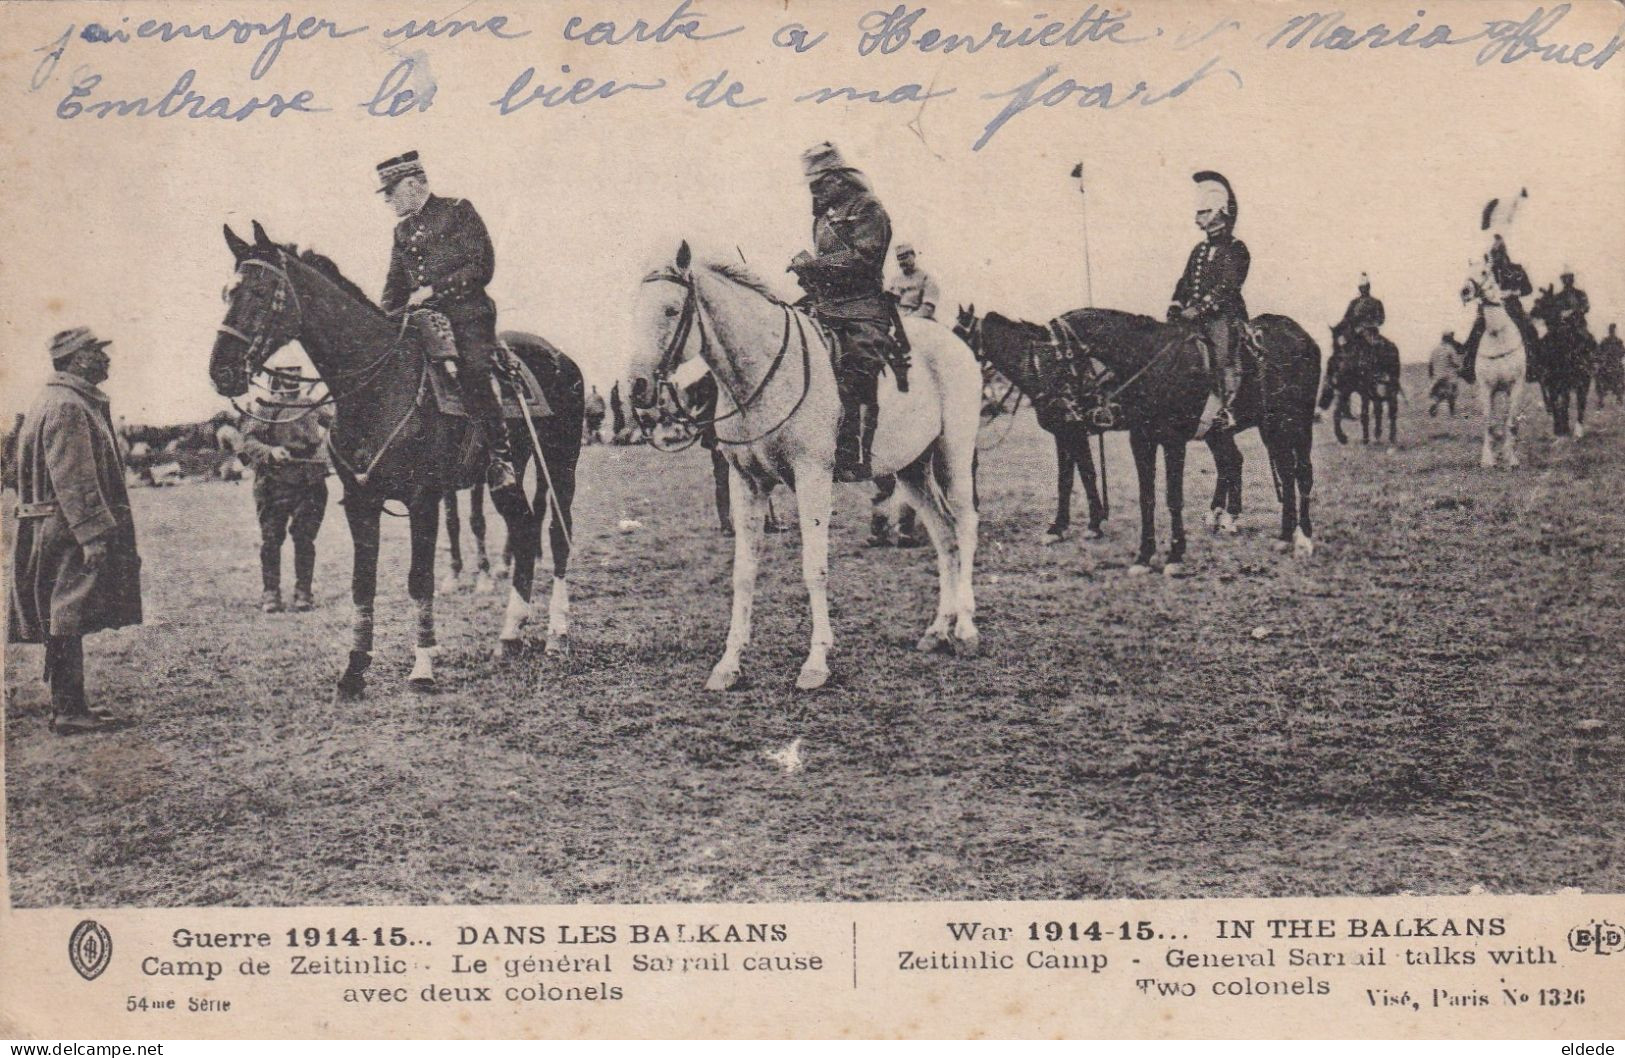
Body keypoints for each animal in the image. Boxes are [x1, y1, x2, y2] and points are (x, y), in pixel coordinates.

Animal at [206, 222, 581, 698]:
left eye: (259, 291)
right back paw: (510, 635)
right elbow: (362, 584)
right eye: (227, 292)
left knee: (557, 535)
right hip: (507, 478)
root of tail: (558, 356)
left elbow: (419, 581)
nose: (221, 372)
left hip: (561, 464)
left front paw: (422, 668)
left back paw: (556, 635)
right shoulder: (360, 502)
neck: (379, 384)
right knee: (527, 531)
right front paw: (354, 670)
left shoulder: (423, 501)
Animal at [620, 243, 975, 692]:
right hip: (912, 468)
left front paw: (816, 661)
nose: (636, 389)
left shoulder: (812, 477)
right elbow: (743, 572)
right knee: (945, 536)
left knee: (965, 526)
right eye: (635, 309)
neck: (763, 375)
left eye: (669, 310)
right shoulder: (747, 482)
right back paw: (938, 630)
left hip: (954, 454)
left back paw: (965, 629)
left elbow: (814, 568)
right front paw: (729, 664)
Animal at [955, 305, 1313, 572]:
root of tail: (1299, 334)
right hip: (1241, 429)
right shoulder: (1100, 435)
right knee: (1239, 464)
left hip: (1290, 424)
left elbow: (1103, 480)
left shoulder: (1101, 434)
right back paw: (1233, 520)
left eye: (1058, 358)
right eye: (1038, 359)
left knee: (1297, 473)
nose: (1062, 403)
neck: (1151, 363)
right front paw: (1072, 529)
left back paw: (1296, 536)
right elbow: (1084, 482)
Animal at [1469, 260, 1527, 468]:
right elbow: (1489, 422)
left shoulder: (1516, 386)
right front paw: (1488, 459)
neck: (1497, 333)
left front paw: (1511, 458)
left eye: (1484, 272)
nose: (1465, 291)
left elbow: (1510, 421)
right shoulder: (1487, 388)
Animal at [1527, 286, 1592, 438]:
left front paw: (1571, 429)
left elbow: (1574, 403)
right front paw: (1560, 428)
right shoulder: (1552, 380)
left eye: (1542, 303)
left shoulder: (1575, 380)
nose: (1529, 316)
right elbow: (1557, 401)